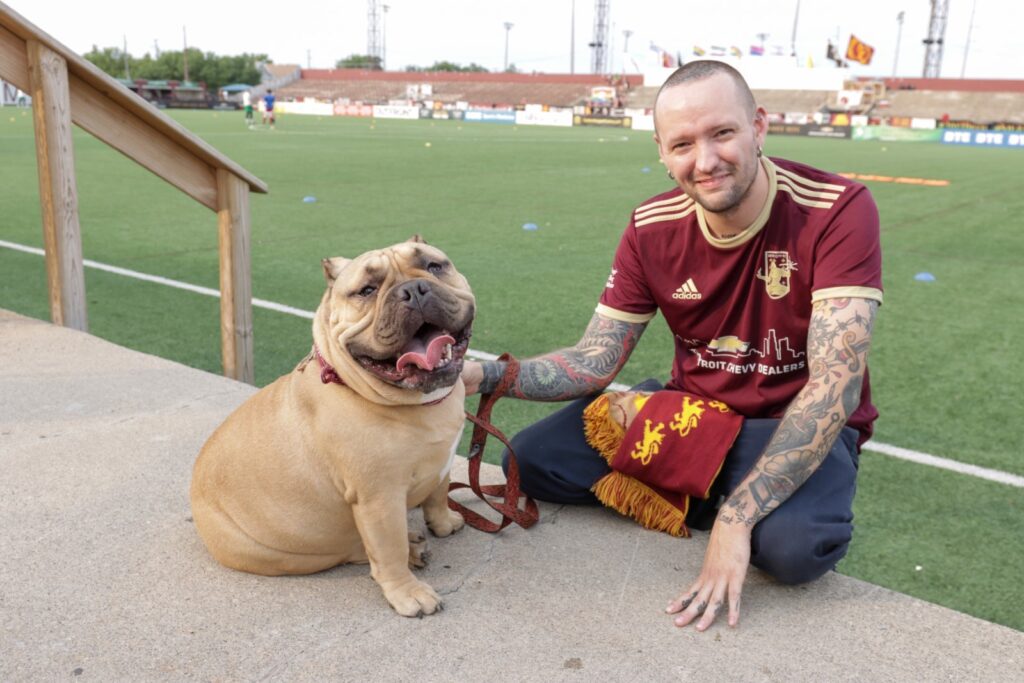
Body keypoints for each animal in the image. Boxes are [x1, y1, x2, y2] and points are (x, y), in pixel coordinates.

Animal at [190, 236, 474, 617]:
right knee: (355, 552)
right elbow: (389, 550)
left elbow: (438, 495)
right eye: (366, 290)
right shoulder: (379, 499)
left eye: (434, 266)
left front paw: (444, 523)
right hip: (287, 552)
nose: (414, 289)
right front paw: (408, 592)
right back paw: (411, 550)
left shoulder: (441, 463)